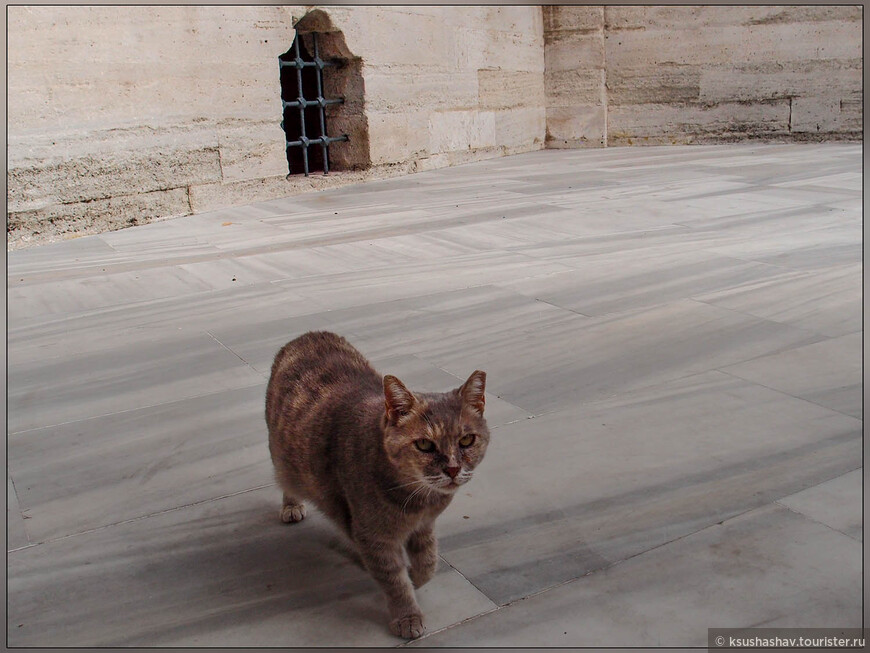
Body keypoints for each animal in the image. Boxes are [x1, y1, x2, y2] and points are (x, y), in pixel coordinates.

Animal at [266, 332, 490, 636]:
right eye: (424, 444)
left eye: (467, 440)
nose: (453, 469)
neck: (418, 500)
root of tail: (307, 335)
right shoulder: (374, 536)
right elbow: (394, 580)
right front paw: (407, 616)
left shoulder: (424, 525)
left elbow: (429, 559)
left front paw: (416, 575)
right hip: (283, 458)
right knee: (288, 482)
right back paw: (293, 506)